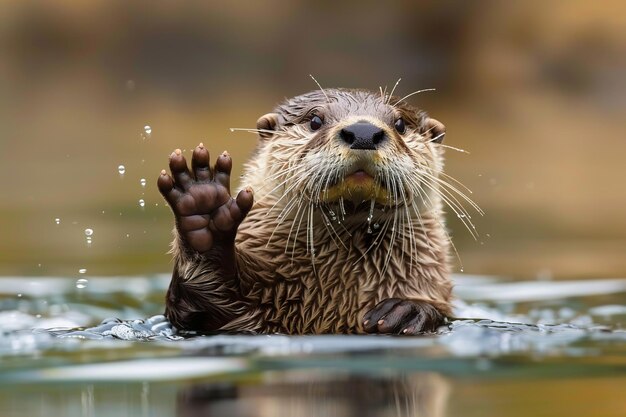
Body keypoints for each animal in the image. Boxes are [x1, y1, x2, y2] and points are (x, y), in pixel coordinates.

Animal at [156, 88, 460, 334]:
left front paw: (407, 309)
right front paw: (203, 208)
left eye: (400, 124)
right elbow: (205, 311)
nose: (363, 132)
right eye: (315, 120)